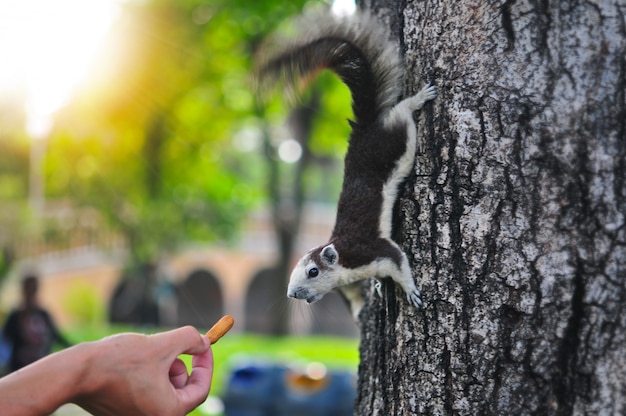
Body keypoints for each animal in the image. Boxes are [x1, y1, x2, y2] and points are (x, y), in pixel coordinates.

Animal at [254, 8, 434, 318]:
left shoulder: (374, 251)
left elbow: (399, 261)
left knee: (401, 113)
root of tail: (364, 128)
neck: (345, 260)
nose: (292, 294)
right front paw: (378, 285)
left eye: (313, 272)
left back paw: (419, 98)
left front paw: (410, 291)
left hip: (396, 141)